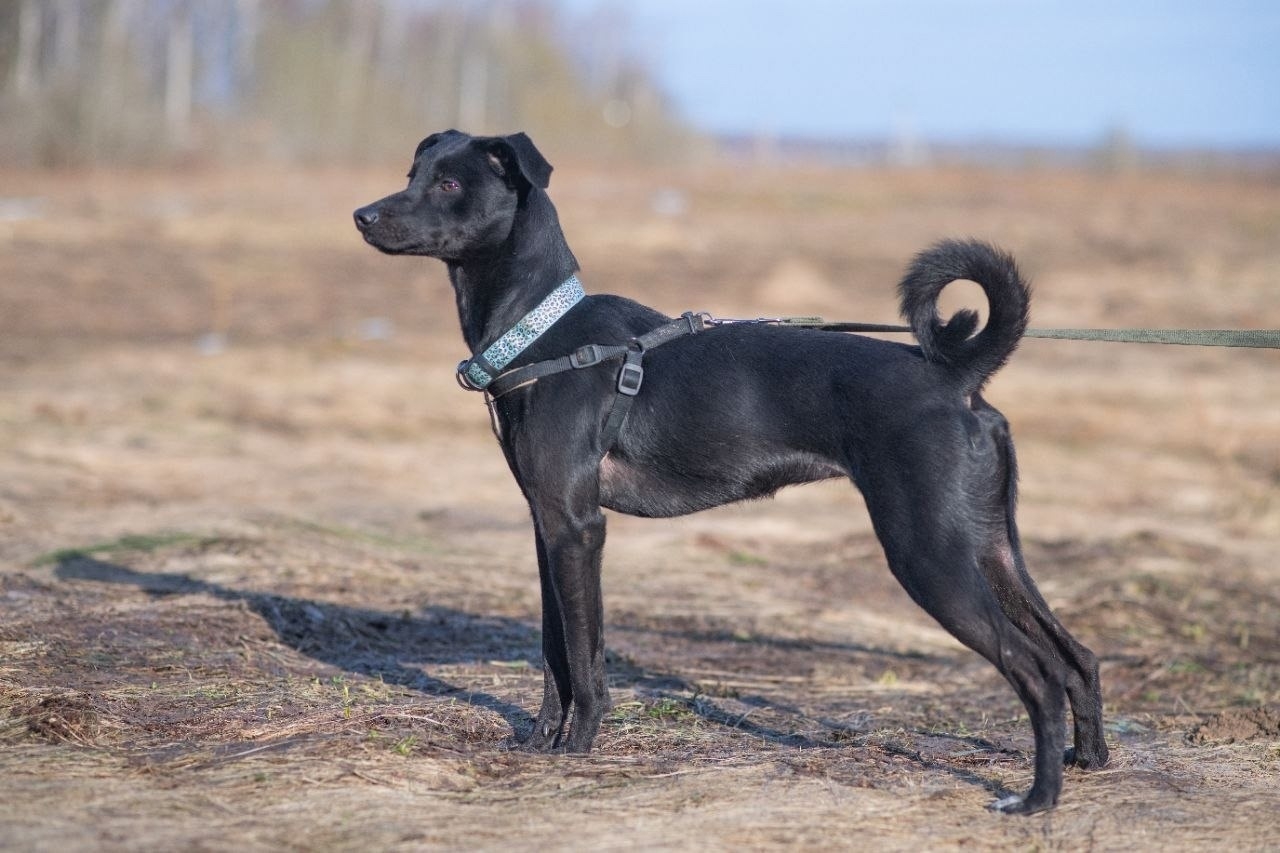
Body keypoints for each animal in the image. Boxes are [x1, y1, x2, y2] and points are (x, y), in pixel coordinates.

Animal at [353, 130, 1108, 813]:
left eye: (450, 183)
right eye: (413, 171)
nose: (363, 214)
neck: (543, 333)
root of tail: (958, 377)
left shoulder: (578, 528)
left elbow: (586, 660)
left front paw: (577, 752)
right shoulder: (547, 528)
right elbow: (553, 654)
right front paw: (540, 743)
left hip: (931, 556)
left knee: (1037, 673)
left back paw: (1037, 799)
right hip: (991, 547)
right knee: (1076, 657)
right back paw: (1090, 761)